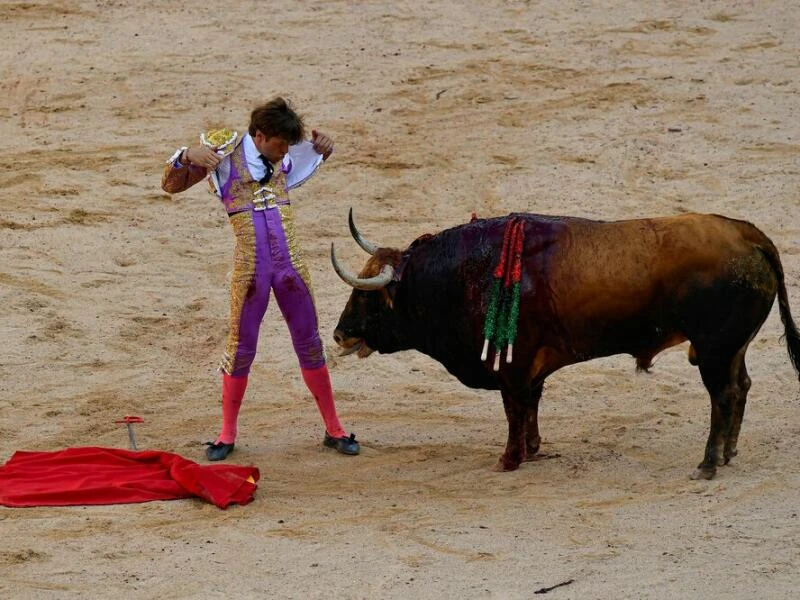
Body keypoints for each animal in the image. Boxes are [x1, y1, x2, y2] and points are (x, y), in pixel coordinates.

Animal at [332, 209, 800, 480]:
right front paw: (534, 449)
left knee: (722, 396)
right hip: (732, 348)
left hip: (714, 351)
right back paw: (730, 453)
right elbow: (531, 405)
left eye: (368, 296)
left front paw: (510, 459)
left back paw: (707, 464)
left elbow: (514, 410)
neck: (465, 274)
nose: (338, 334)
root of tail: (749, 235)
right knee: (742, 388)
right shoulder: (530, 367)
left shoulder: (512, 366)